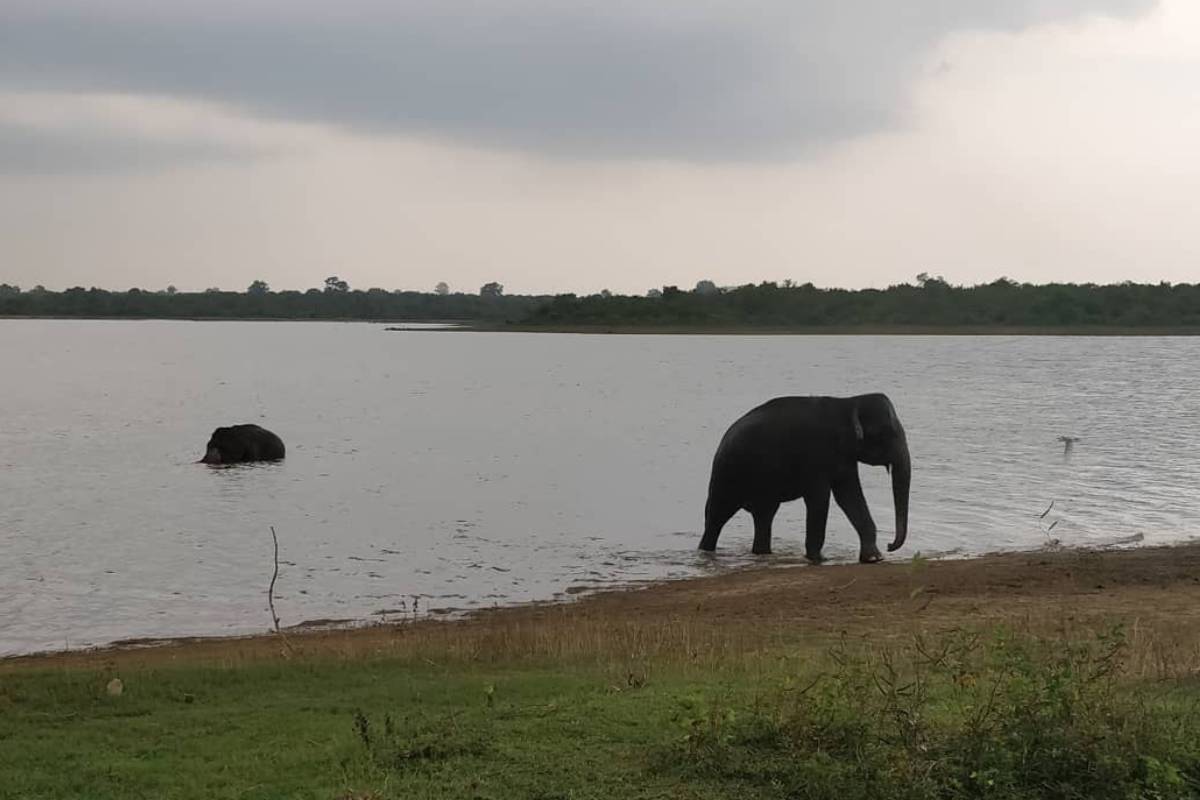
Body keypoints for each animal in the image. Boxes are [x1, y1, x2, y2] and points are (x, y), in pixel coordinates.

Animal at [697, 393, 910, 564]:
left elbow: (849, 496)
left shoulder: (844, 458)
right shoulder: (814, 455)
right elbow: (820, 498)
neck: (849, 402)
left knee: (764, 517)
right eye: (889, 433)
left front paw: (874, 558)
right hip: (726, 475)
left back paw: (762, 554)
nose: (890, 545)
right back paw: (706, 551)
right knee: (716, 518)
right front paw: (819, 559)